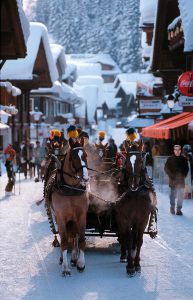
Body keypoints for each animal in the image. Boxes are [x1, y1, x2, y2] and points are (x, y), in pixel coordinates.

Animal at [50, 137, 89, 276]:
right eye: (73, 157)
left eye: (85, 155)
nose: (85, 177)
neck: (71, 189)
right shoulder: (61, 217)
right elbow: (64, 241)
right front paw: (65, 267)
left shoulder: (82, 216)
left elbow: (81, 238)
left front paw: (81, 263)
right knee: (65, 237)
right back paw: (63, 258)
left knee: (74, 236)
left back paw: (74, 257)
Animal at [114, 140, 157, 276]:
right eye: (127, 162)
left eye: (139, 161)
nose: (133, 184)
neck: (135, 193)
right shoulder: (125, 218)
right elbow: (127, 238)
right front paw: (130, 266)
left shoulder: (143, 218)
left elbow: (139, 240)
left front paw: (137, 264)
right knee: (123, 235)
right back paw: (124, 254)